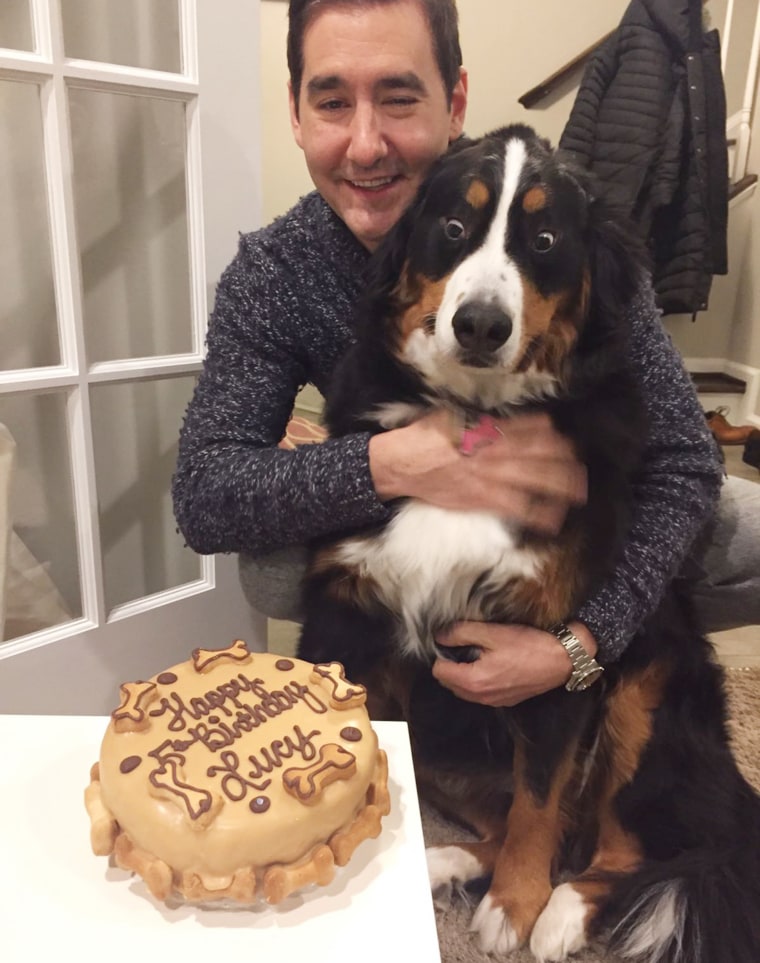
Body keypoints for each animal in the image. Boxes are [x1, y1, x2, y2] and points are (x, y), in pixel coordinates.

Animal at [296, 128, 760, 963]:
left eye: (544, 242)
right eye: (454, 228)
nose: (481, 323)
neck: (475, 418)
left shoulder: (545, 651)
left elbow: (540, 799)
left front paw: (515, 904)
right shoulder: (348, 616)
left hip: (645, 687)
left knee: (617, 848)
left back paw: (562, 909)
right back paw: (440, 858)